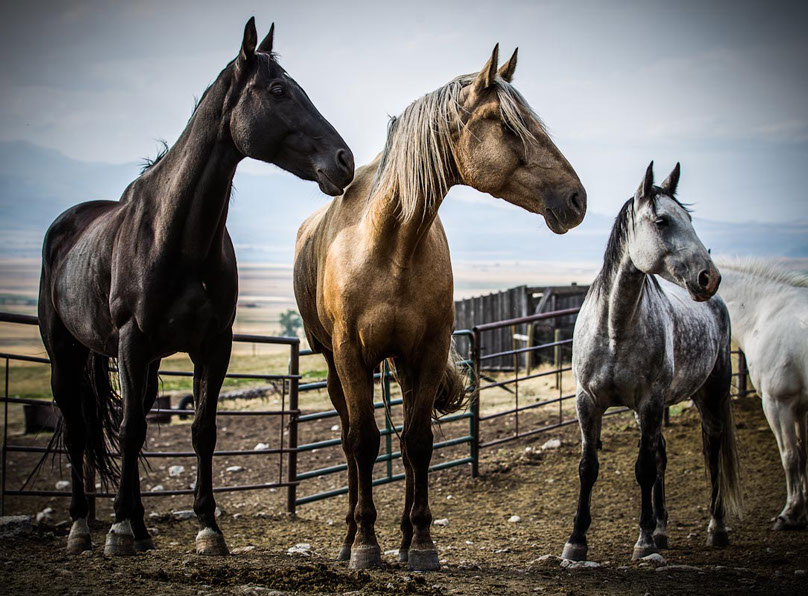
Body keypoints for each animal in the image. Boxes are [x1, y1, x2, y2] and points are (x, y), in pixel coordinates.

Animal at [38, 18, 354, 557]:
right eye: (278, 89)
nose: (344, 160)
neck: (175, 237)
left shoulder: (212, 345)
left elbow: (202, 430)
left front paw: (208, 527)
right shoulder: (131, 341)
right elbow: (128, 430)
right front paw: (117, 531)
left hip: (142, 362)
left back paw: (141, 527)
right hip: (67, 352)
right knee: (81, 431)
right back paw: (84, 526)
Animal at [294, 45, 586, 571]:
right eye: (508, 126)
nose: (577, 199)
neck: (389, 244)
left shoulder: (427, 353)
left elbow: (418, 443)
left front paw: (422, 544)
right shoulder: (349, 356)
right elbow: (363, 442)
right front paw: (365, 545)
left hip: (404, 364)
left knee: (408, 440)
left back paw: (406, 538)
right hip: (331, 365)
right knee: (348, 441)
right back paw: (349, 537)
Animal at [562, 162, 742, 562]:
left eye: (689, 218)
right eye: (662, 221)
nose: (710, 277)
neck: (615, 328)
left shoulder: (649, 402)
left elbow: (643, 468)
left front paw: (642, 541)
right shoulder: (588, 402)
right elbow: (587, 467)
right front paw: (576, 540)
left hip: (710, 395)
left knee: (711, 450)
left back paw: (717, 527)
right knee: (661, 453)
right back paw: (662, 529)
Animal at [716, 259, 808, 530]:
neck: (763, 312)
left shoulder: (777, 403)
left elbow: (790, 456)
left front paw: (789, 513)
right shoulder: (798, 407)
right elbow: (803, 452)